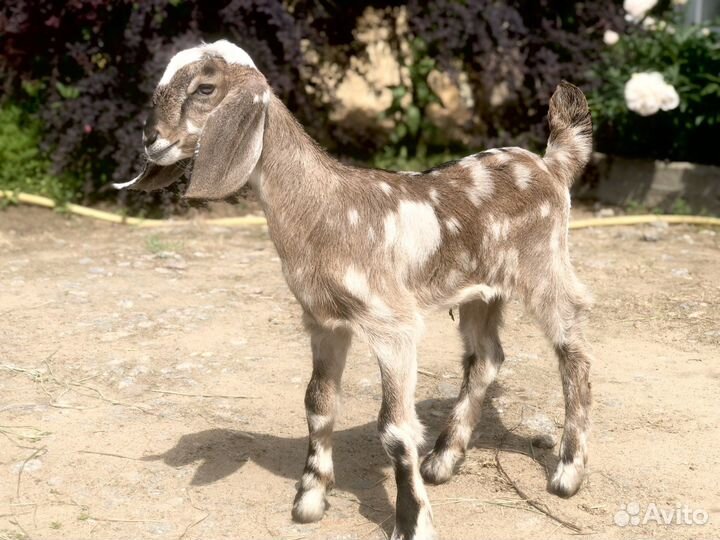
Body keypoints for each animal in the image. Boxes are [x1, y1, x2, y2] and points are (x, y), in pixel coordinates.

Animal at [116, 40, 595, 540]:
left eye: (205, 88)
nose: (150, 139)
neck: (324, 208)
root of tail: (550, 165)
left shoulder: (393, 326)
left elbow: (395, 430)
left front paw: (413, 521)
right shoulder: (325, 321)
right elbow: (318, 404)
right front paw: (310, 497)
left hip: (544, 267)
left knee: (573, 348)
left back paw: (567, 471)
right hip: (480, 292)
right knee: (486, 357)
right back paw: (442, 460)